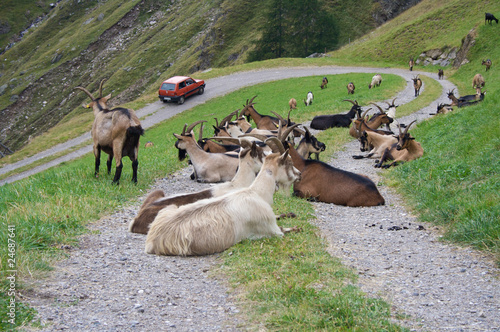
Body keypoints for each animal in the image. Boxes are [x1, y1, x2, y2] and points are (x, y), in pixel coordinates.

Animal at [145, 138, 300, 256]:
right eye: (289, 162)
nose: (299, 174)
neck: (257, 194)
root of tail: (151, 241)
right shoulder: (271, 229)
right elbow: (289, 230)